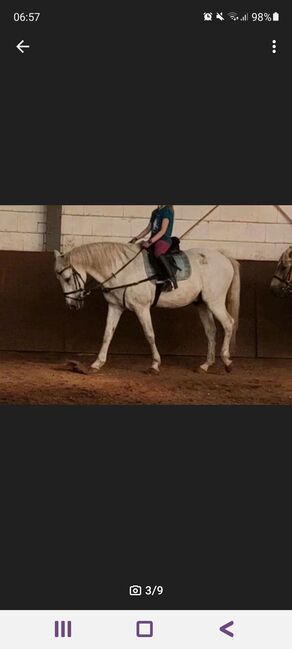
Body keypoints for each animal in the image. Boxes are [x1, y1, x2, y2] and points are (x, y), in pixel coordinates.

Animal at [54, 242, 240, 374]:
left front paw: (155, 365)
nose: (72, 305)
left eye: (68, 278)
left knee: (228, 324)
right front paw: (96, 364)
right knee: (211, 331)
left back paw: (227, 361)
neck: (122, 270)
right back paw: (205, 365)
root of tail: (225, 258)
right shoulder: (115, 306)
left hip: (214, 301)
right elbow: (107, 334)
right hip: (202, 304)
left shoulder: (141, 308)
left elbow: (149, 334)